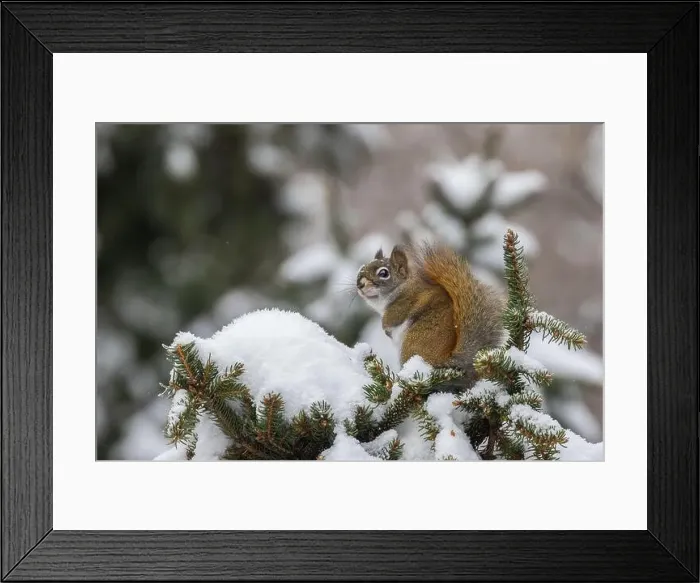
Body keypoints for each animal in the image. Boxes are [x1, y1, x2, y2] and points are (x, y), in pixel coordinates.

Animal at [356, 241, 506, 389]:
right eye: (362, 268)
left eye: (383, 273)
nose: (359, 284)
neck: (403, 287)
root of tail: (446, 360)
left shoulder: (405, 303)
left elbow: (392, 317)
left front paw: (385, 326)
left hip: (411, 345)